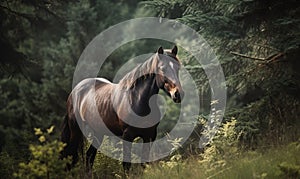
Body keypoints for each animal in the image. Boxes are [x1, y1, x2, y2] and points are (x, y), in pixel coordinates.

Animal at [60, 45, 184, 173]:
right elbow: (126, 165)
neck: (137, 100)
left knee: (89, 156)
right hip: (75, 130)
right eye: (162, 68)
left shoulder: (149, 136)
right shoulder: (127, 136)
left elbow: (144, 164)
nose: (178, 94)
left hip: (98, 132)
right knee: (71, 156)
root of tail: (75, 91)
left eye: (177, 68)